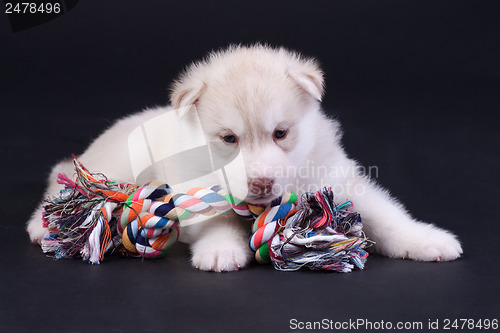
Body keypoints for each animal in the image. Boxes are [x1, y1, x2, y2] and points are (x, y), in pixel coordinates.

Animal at [26, 45, 460, 272]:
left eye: (281, 133)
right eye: (229, 139)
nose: (262, 183)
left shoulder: (339, 182)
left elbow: (388, 218)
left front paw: (426, 240)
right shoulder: (194, 185)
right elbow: (216, 220)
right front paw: (222, 250)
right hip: (112, 167)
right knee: (67, 186)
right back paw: (42, 225)